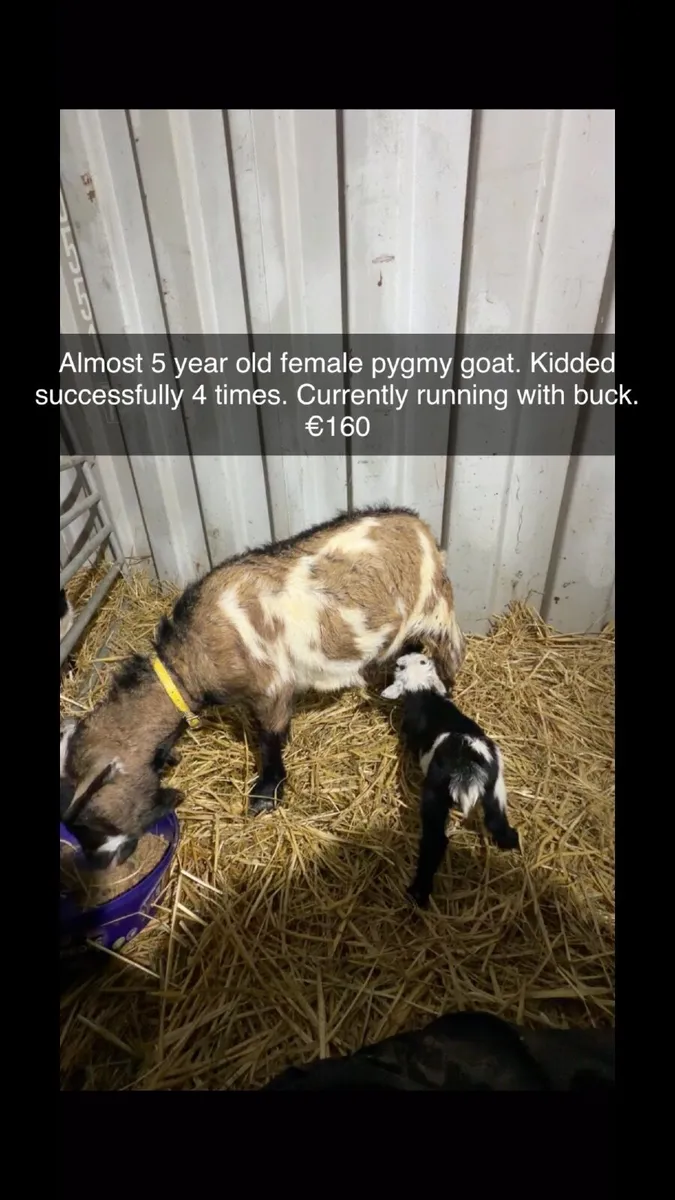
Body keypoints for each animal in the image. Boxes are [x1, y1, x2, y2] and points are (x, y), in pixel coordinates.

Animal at [60, 505, 466, 868]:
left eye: (92, 815)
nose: (100, 862)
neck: (190, 660)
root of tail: (420, 525)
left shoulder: (271, 686)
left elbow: (269, 740)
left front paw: (266, 796)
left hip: (437, 610)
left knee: (452, 654)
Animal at [381, 651, 520, 908]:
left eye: (400, 667)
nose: (401, 659)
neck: (425, 692)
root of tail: (467, 766)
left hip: (435, 795)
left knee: (436, 841)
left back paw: (419, 892)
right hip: (495, 786)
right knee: (496, 821)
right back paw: (511, 842)